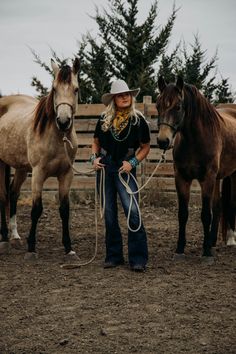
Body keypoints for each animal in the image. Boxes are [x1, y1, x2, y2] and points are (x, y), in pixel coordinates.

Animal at [0, 56, 80, 258]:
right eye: (54, 89)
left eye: (76, 89)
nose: (63, 121)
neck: (58, 138)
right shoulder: (38, 174)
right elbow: (36, 209)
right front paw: (31, 248)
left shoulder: (67, 175)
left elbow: (65, 210)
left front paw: (69, 248)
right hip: (1, 164)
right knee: (3, 196)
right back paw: (4, 238)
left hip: (21, 169)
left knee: (13, 194)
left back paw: (15, 236)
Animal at [157, 76, 236, 262]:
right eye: (158, 105)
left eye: (178, 107)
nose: (163, 141)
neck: (195, 140)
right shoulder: (181, 178)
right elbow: (183, 214)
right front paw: (180, 249)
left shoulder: (206, 179)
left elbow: (205, 214)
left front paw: (206, 253)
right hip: (218, 178)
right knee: (218, 206)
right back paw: (212, 241)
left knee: (231, 203)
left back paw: (230, 239)